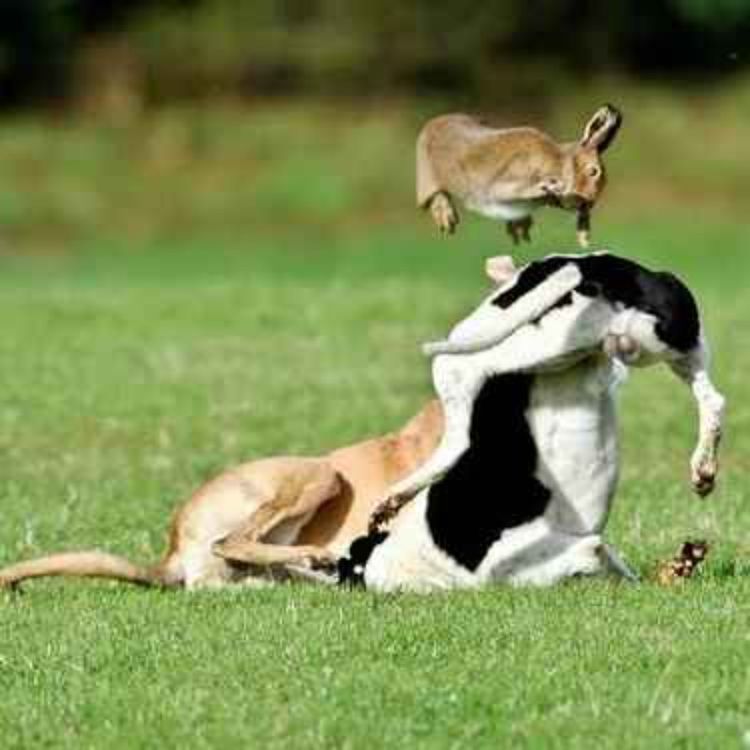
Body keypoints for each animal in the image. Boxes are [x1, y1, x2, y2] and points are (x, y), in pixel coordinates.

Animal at [416, 104, 622, 247]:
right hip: (427, 177)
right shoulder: (500, 186)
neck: (559, 164)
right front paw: (550, 186)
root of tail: (430, 124)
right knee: (434, 197)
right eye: (593, 171)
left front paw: (584, 239)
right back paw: (447, 220)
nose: (589, 202)